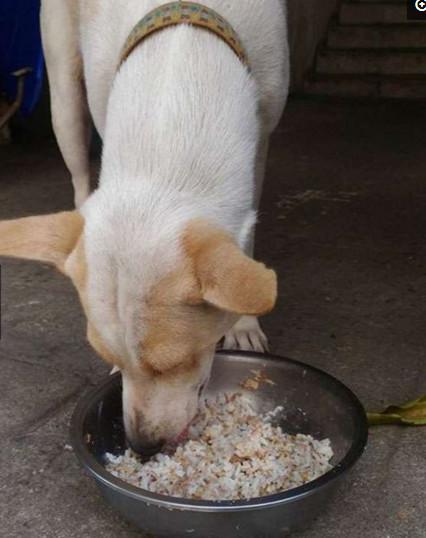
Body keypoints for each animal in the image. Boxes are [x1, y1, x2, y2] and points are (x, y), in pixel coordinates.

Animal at [0, 1, 290, 452]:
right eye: (111, 361)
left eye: (176, 364)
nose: (140, 447)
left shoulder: (262, 132)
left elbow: (247, 236)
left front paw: (243, 324)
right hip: (63, 91)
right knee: (78, 169)